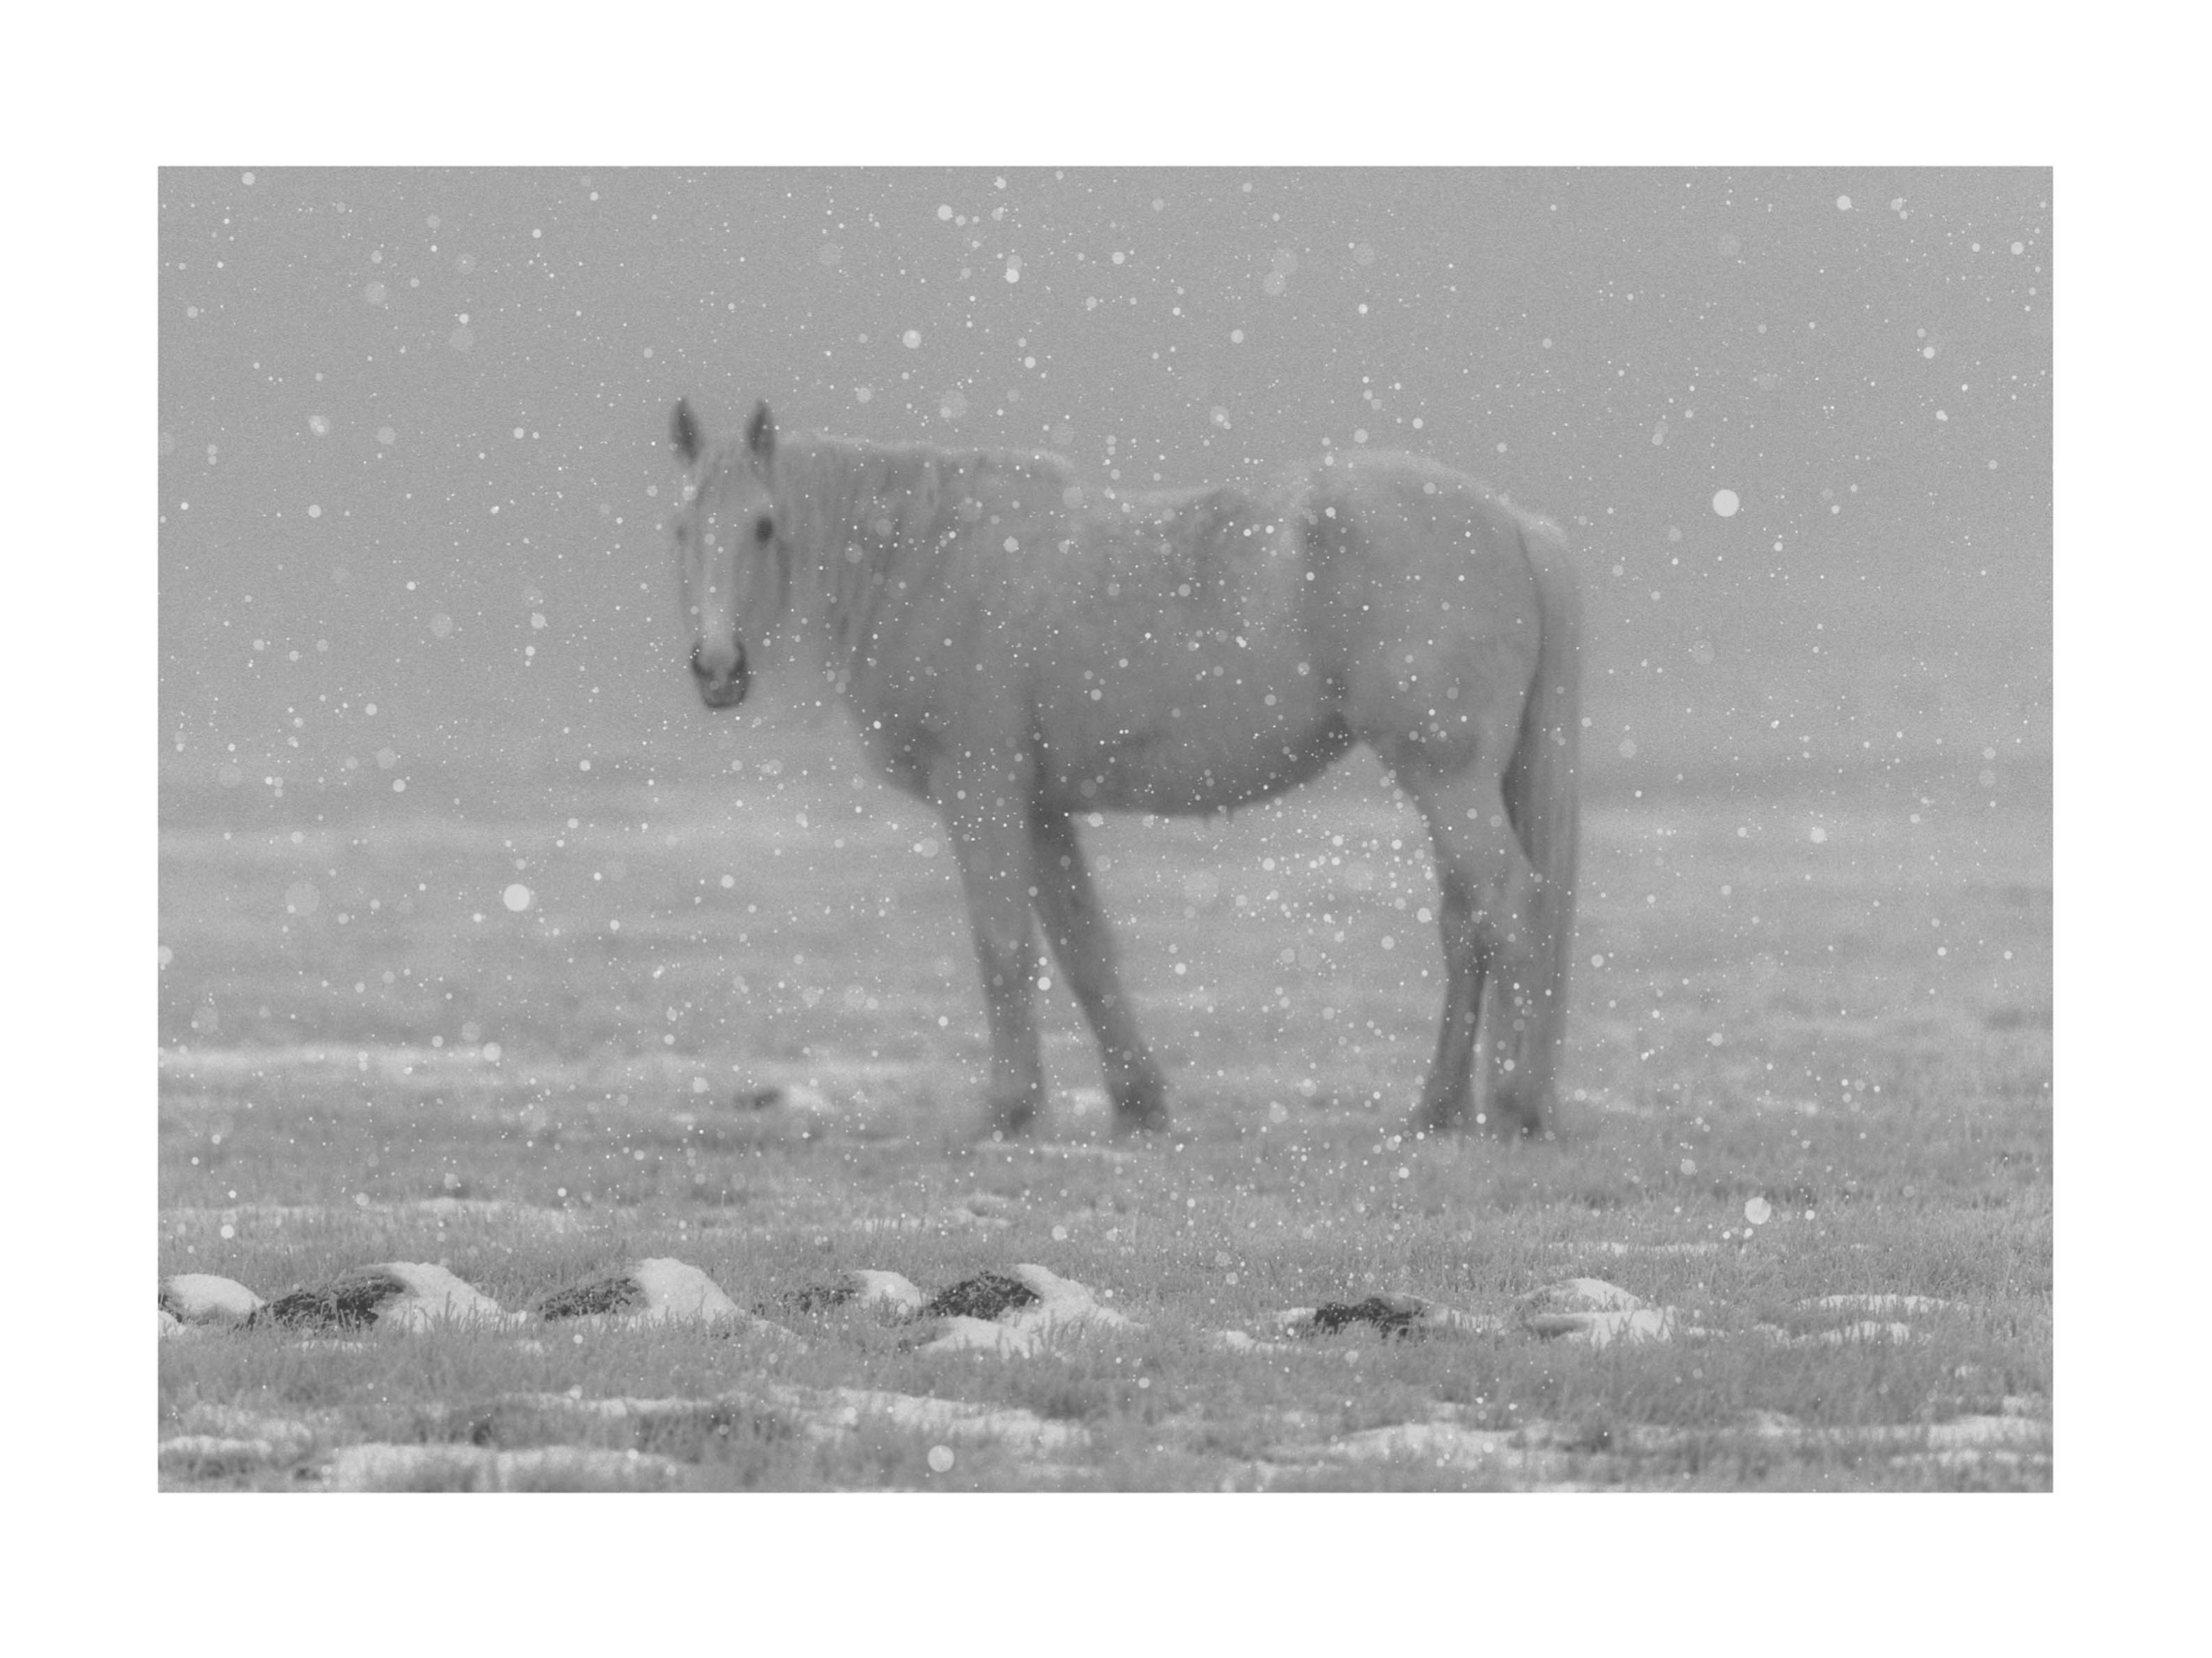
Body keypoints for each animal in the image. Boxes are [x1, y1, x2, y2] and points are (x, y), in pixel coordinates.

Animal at [666, 397, 1581, 1139]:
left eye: (762, 525)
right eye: (680, 529)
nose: (716, 668)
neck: (928, 560)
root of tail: (1513, 524)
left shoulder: (982, 792)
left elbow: (1003, 947)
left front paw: (1010, 1112)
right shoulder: (1040, 808)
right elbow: (1084, 951)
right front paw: (1138, 1104)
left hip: (1446, 779)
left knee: (1509, 906)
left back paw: (1512, 1106)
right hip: (1459, 785)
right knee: (1466, 926)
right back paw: (1438, 1108)